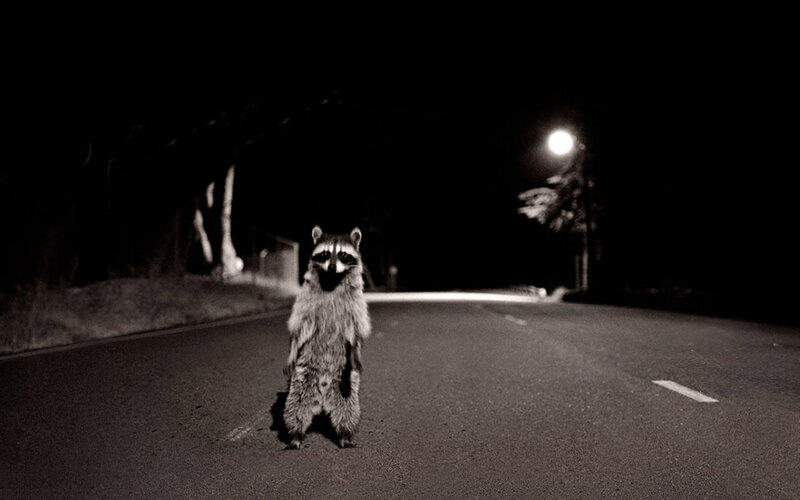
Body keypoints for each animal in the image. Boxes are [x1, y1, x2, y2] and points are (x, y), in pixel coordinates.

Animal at [282, 225, 371, 449]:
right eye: (324, 254)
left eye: (342, 254)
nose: (331, 267)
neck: (332, 279)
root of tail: (323, 389)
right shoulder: (306, 298)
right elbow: (299, 324)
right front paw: (292, 348)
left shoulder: (356, 302)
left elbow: (357, 328)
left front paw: (357, 349)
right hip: (303, 375)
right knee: (296, 405)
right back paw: (296, 434)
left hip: (345, 379)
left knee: (348, 408)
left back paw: (345, 434)